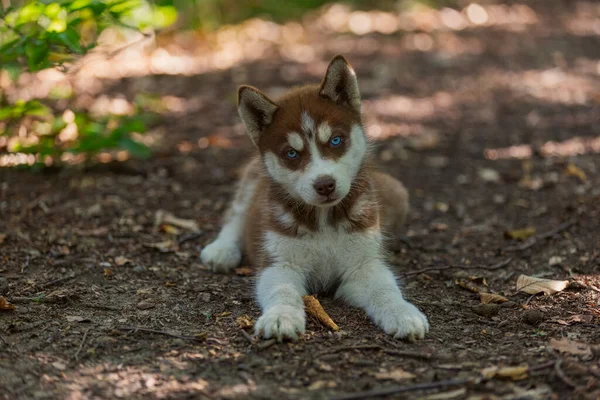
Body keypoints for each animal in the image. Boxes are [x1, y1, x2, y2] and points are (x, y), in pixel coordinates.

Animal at [204, 54, 428, 342]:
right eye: (291, 153)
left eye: (335, 140)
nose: (325, 185)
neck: (324, 221)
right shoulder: (280, 264)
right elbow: (283, 291)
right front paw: (281, 317)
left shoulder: (363, 265)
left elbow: (385, 289)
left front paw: (403, 313)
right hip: (252, 179)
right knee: (236, 215)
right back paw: (221, 250)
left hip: (397, 194)